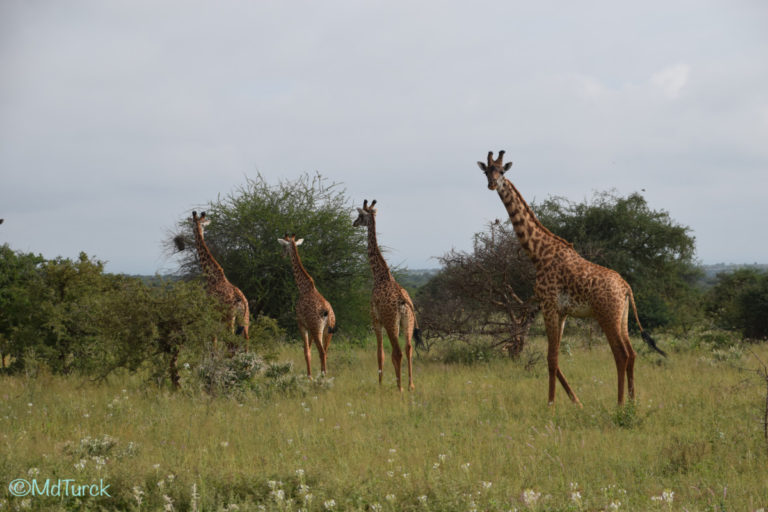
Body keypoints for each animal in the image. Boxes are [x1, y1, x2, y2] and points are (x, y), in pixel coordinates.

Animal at [190, 210, 250, 350]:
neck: (212, 276)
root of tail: (241, 300)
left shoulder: (211, 313)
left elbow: (214, 341)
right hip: (245, 319)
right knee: (246, 341)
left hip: (230, 317)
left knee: (231, 341)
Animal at [278, 234, 334, 378]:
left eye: (284, 246)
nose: (282, 255)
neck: (303, 288)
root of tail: (327, 312)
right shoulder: (309, 327)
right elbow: (308, 350)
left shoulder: (302, 324)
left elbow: (306, 352)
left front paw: (309, 377)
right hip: (328, 331)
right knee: (325, 352)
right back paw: (325, 376)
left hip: (317, 329)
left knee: (321, 352)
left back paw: (322, 377)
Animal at [352, 200, 424, 392]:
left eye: (360, 215)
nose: (354, 223)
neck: (380, 275)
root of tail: (403, 301)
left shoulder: (375, 319)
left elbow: (380, 353)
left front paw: (380, 383)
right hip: (407, 322)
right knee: (408, 349)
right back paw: (410, 385)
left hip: (392, 323)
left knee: (397, 352)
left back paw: (399, 388)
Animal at [474, 150, 664, 406]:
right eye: (486, 171)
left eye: (502, 171)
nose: (492, 184)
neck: (539, 254)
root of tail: (626, 287)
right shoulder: (562, 312)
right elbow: (555, 359)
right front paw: (576, 402)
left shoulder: (548, 306)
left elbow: (551, 359)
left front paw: (551, 405)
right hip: (622, 316)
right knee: (632, 353)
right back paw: (633, 402)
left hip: (607, 315)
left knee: (621, 354)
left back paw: (620, 404)